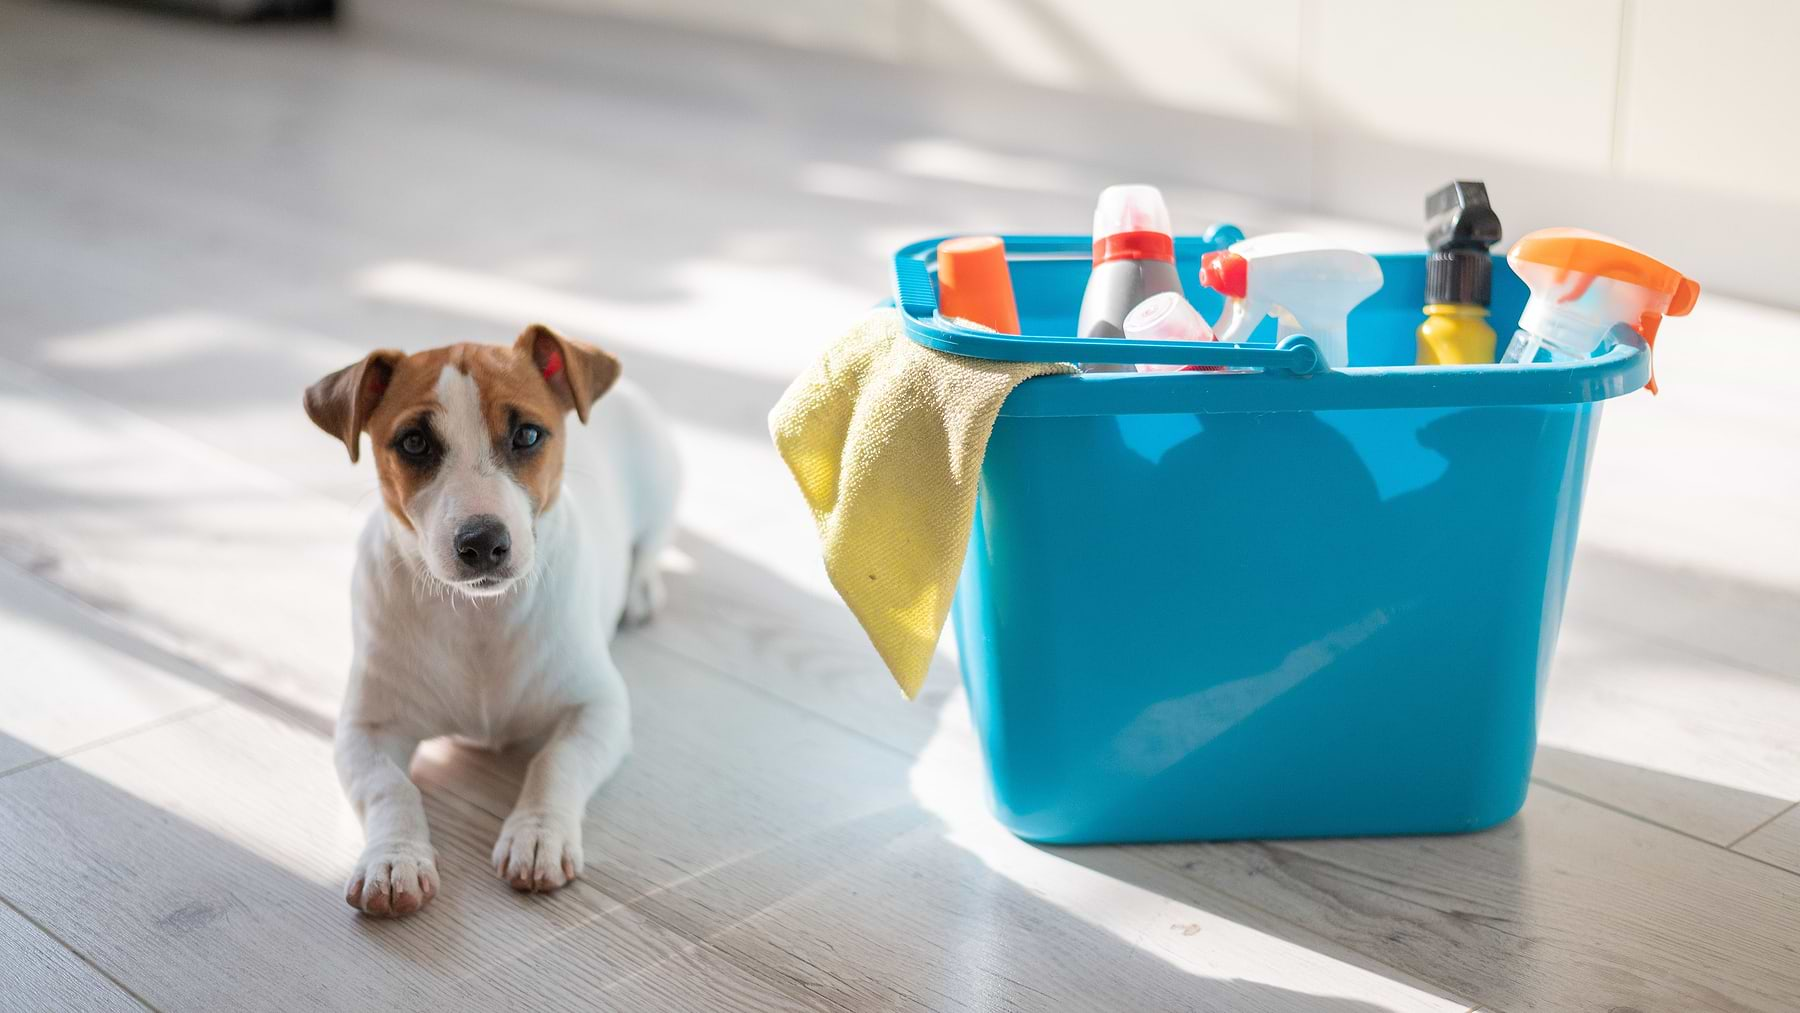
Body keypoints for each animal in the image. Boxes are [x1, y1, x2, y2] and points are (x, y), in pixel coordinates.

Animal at [306, 325, 676, 921]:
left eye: (527, 435)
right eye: (414, 443)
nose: (482, 542)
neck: (480, 618)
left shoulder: (599, 708)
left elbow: (555, 760)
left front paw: (537, 835)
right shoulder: (365, 730)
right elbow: (391, 788)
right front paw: (394, 860)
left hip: (664, 483)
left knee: (653, 542)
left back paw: (641, 589)